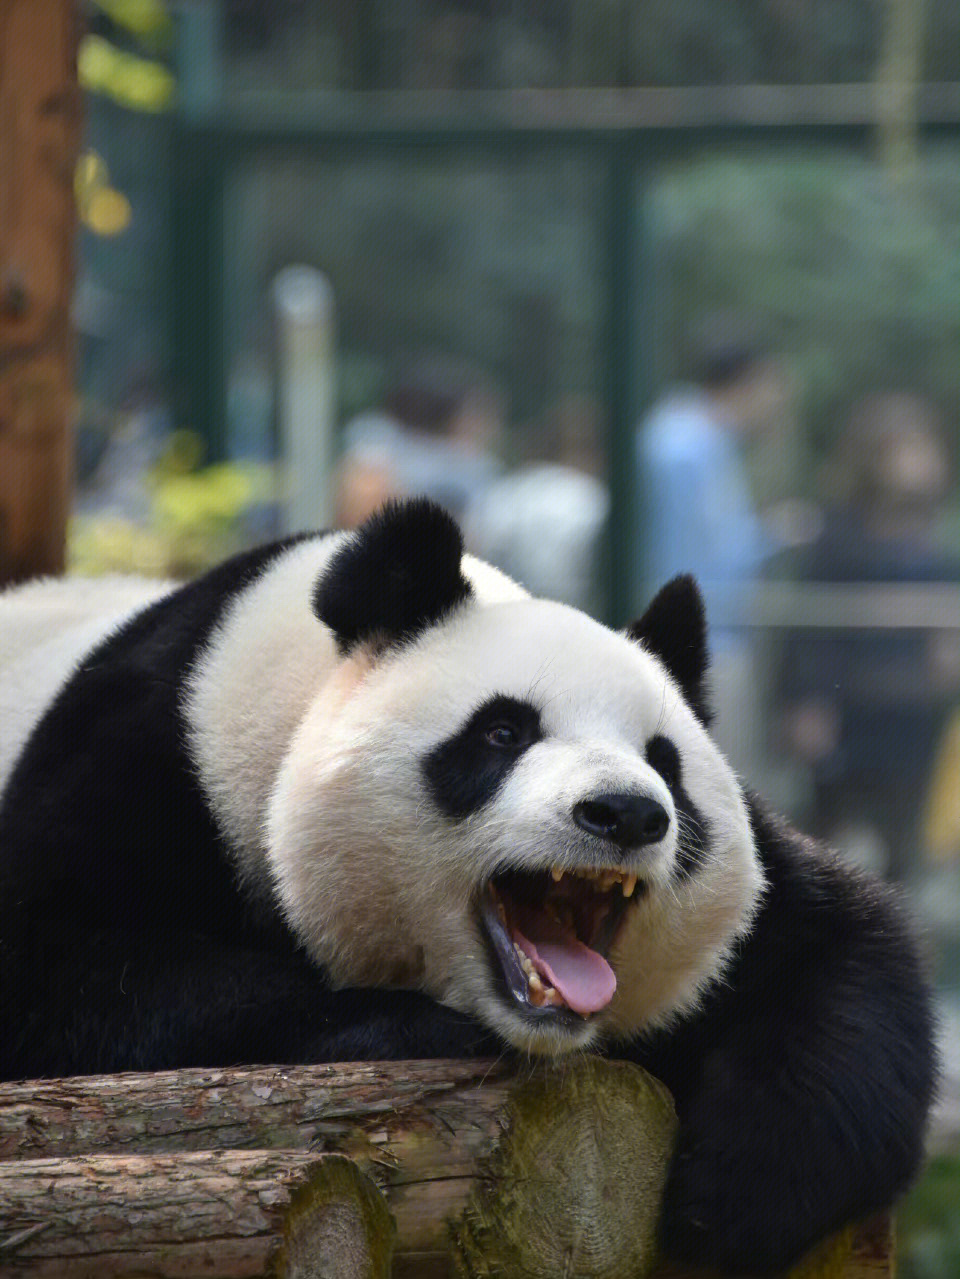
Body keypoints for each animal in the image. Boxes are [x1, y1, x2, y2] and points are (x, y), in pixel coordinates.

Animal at [0, 496, 935, 1268]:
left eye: (664, 760)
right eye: (502, 732)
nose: (627, 813)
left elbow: (844, 958)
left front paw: (731, 1192)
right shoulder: (146, 760)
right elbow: (66, 976)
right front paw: (412, 1026)